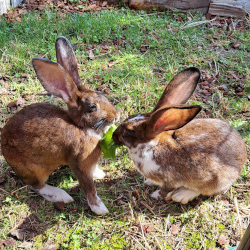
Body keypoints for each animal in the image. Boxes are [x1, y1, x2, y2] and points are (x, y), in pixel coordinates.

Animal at [0, 36, 118, 215]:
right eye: (92, 106)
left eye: (102, 95)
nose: (116, 116)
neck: (82, 128)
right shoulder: (80, 165)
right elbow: (89, 188)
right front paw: (99, 209)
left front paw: (99, 174)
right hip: (35, 170)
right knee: (36, 186)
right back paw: (61, 196)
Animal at [113, 67, 246, 204]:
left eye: (129, 131)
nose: (113, 136)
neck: (151, 146)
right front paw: (149, 182)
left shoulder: (170, 180)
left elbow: (165, 191)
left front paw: (156, 195)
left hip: (214, 181)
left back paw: (181, 195)